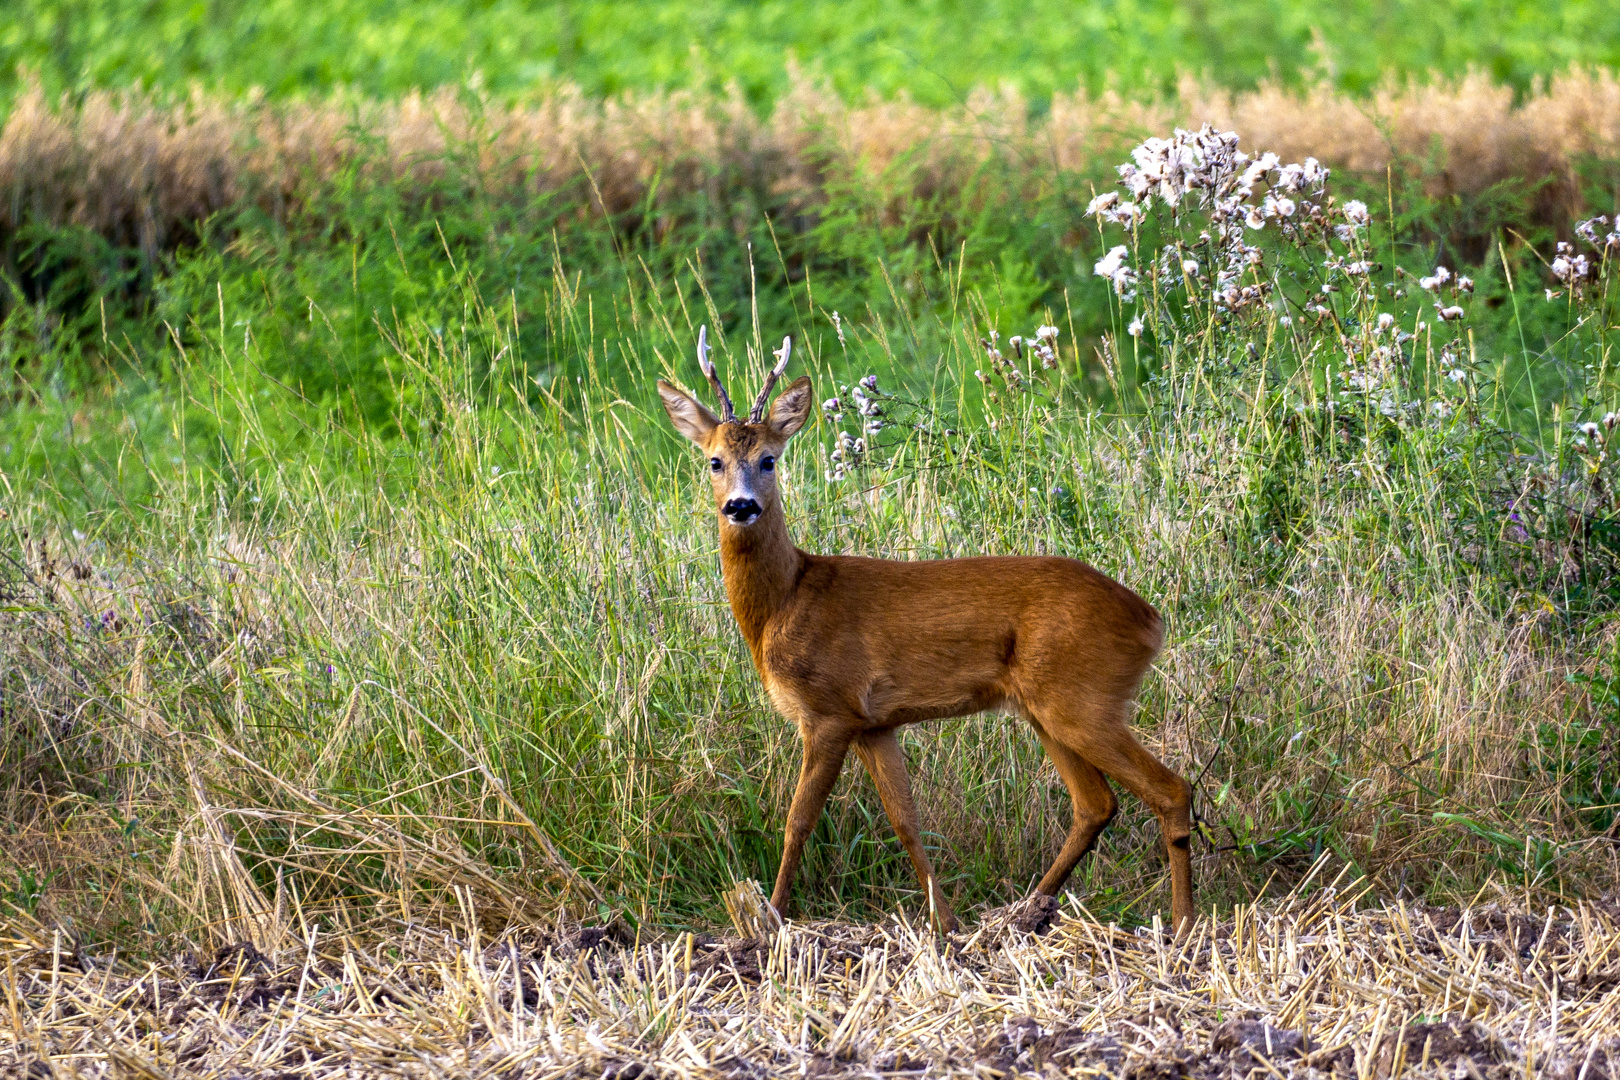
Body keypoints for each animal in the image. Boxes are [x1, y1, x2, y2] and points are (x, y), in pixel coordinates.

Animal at [651, 327, 1198, 932]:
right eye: (714, 461)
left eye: (769, 459)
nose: (741, 506)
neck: (785, 602)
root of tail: (1151, 619)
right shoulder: (874, 723)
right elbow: (906, 822)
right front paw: (944, 923)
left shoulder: (829, 709)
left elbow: (798, 821)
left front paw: (773, 917)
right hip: (1048, 707)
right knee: (1096, 804)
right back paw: (1025, 911)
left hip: (1084, 697)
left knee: (1171, 789)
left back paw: (1182, 926)